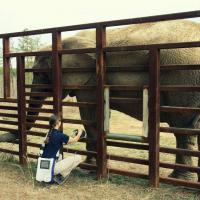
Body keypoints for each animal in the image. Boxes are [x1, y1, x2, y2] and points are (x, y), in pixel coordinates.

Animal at [1, 19, 200, 181]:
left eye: (38, 73)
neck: (65, 41)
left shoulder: (89, 79)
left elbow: (90, 117)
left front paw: (88, 168)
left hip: (182, 79)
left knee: (182, 129)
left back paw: (180, 179)